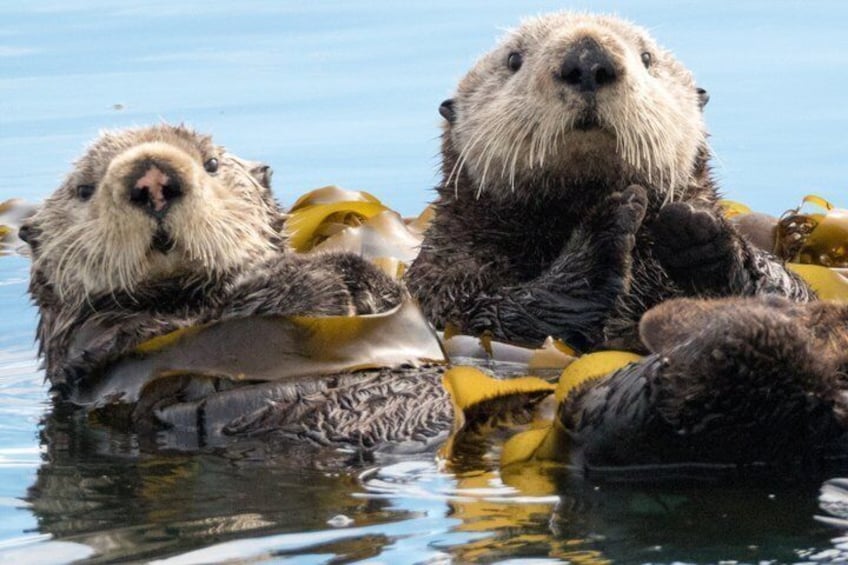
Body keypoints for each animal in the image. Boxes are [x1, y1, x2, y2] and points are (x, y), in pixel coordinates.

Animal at [21, 124, 452, 453]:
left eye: (211, 163)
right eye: (84, 189)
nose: (152, 179)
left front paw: (356, 273)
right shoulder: (107, 345)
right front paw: (317, 283)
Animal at [406, 12, 812, 351]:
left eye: (647, 58)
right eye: (513, 60)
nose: (588, 60)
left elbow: (795, 295)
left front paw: (698, 231)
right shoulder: (443, 280)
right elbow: (486, 314)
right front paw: (607, 229)